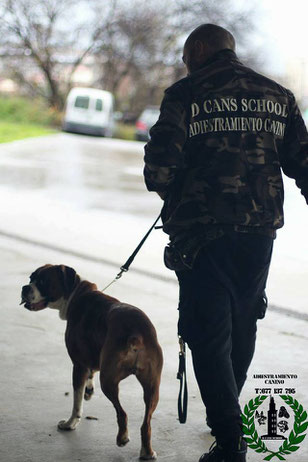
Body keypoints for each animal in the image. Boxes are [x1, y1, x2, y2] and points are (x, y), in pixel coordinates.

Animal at [20, 264, 162, 458]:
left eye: (42, 281)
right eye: (30, 278)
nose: (25, 288)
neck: (76, 293)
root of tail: (137, 334)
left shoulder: (78, 365)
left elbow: (77, 401)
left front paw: (70, 423)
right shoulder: (93, 355)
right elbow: (91, 371)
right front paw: (88, 390)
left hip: (109, 381)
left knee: (122, 413)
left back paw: (122, 438)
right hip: (152, 387)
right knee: (146, 423)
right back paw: (147, 452)